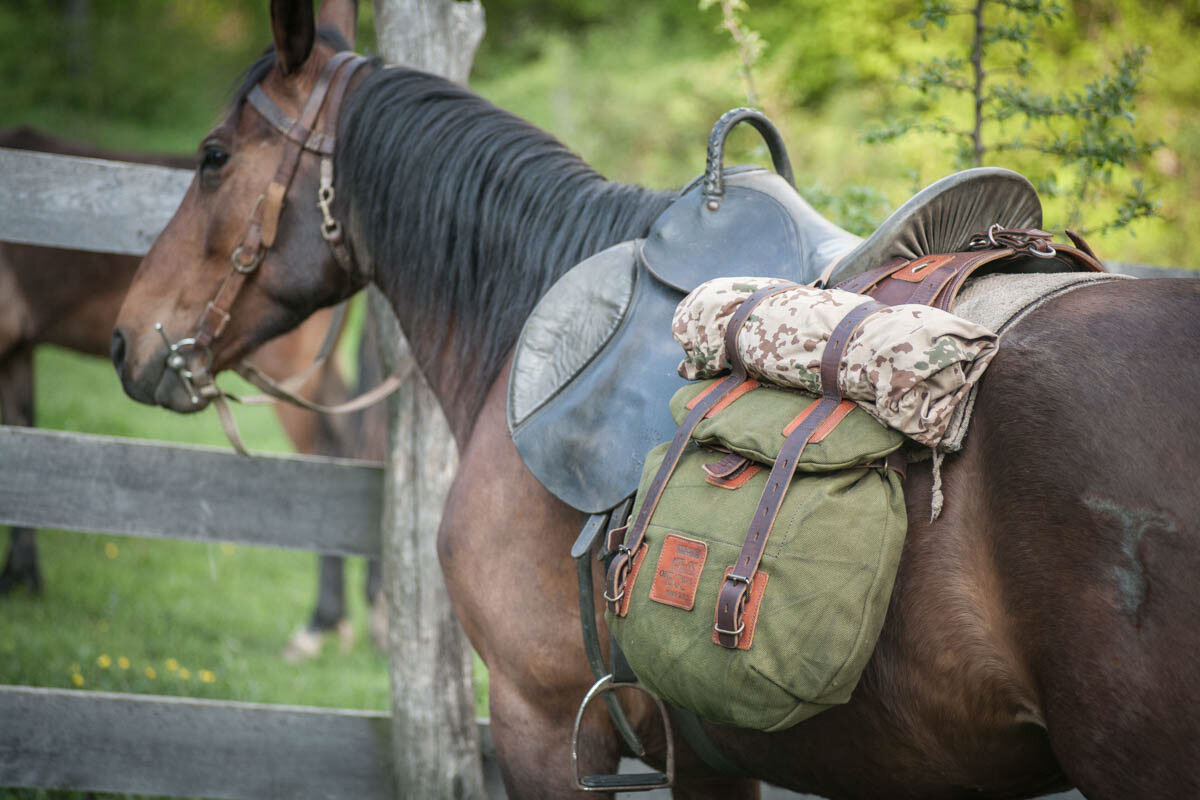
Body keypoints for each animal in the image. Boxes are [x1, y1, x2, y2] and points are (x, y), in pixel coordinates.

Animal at [0, 125, 384, 662]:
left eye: (215, 159)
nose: (122, 343)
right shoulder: (17, 351)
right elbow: (22, 428)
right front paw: (22, 577)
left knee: (334, 451)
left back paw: (323, 622)